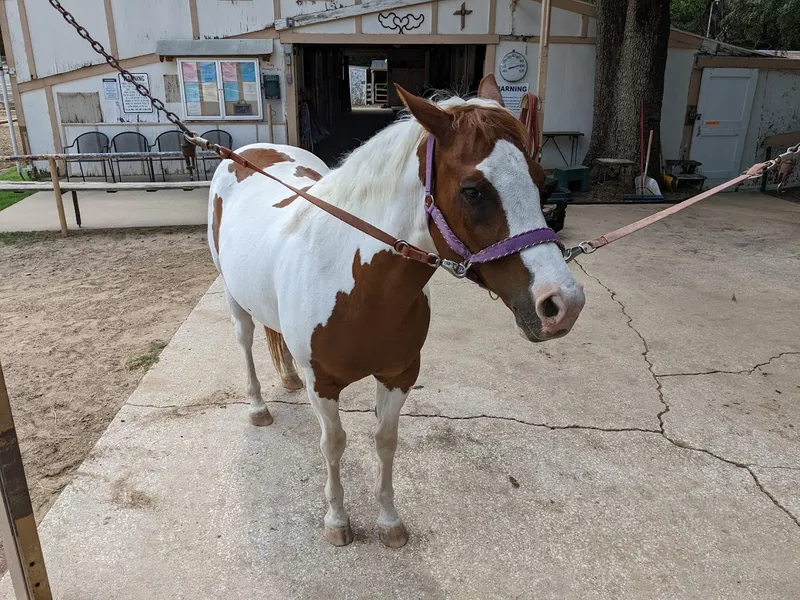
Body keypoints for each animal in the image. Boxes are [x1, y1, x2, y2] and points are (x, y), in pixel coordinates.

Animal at [209, 75, 584, 548]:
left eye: (540, 180)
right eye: (473, 190)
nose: (563, 303)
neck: (353, 279)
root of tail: (251, 150)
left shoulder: (399, 375)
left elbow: (386, 441)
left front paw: (389, 522)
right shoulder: (323, 384)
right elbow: (333, 444)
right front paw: (337, 521)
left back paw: (289, 379)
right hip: (231, 297)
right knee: (244, 341)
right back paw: (259, 407)